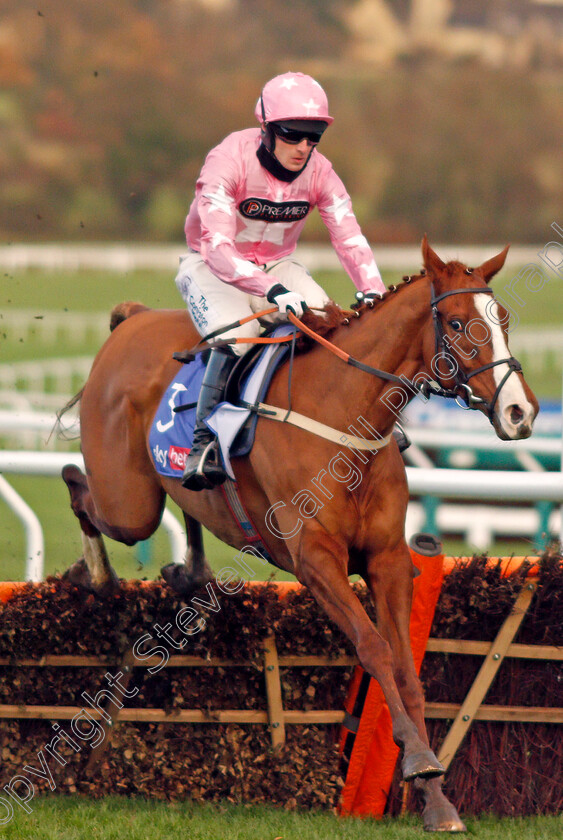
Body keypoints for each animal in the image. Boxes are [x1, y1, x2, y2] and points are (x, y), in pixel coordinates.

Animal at [60, 240, 536, 832]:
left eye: (504, 320)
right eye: (455, 322)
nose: (520, 413)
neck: (346, 419)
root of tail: (134, 319)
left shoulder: (387, 560)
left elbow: (407, 668)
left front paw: (437, 800)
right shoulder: (317, 562)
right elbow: (374, 649)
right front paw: (421, 762)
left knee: (182, 508)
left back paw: (190, 568)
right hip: (128, 503)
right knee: (79, 487)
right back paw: (94, 573)